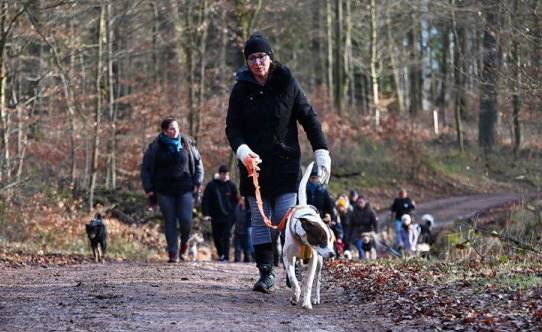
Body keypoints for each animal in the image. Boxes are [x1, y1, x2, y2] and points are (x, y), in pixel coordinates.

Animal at [282, 162, 338, 310]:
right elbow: (293, 279)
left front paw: (307, 302)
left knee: (317, 280)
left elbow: (309, 283)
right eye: (322, 238)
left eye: (330, 240)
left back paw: (316, 298)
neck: (303, 241)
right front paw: (295, 295)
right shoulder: (287, 257)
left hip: (320, 261)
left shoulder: (313, 259)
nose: (332, 254)